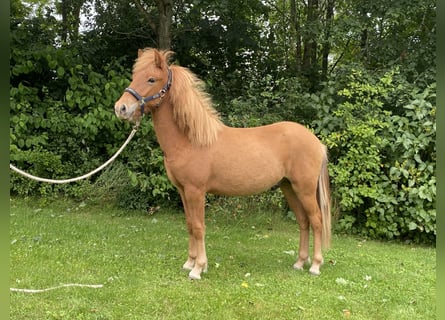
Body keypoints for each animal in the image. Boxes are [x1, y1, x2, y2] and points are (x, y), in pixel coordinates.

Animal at [114, 48, 330, 280]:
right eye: (134, 76)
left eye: (151, 79)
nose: (121, 108)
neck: (190, 140)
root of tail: (316, 142)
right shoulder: (183, 191)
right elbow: (190, 225)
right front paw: (189, 263)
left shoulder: (196, 191)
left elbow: (199, 227)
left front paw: (198, 268)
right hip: (288, 187)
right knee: (303, 221)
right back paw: (299, 262)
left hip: (304, 189)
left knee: (316, 220)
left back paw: (315, 265)